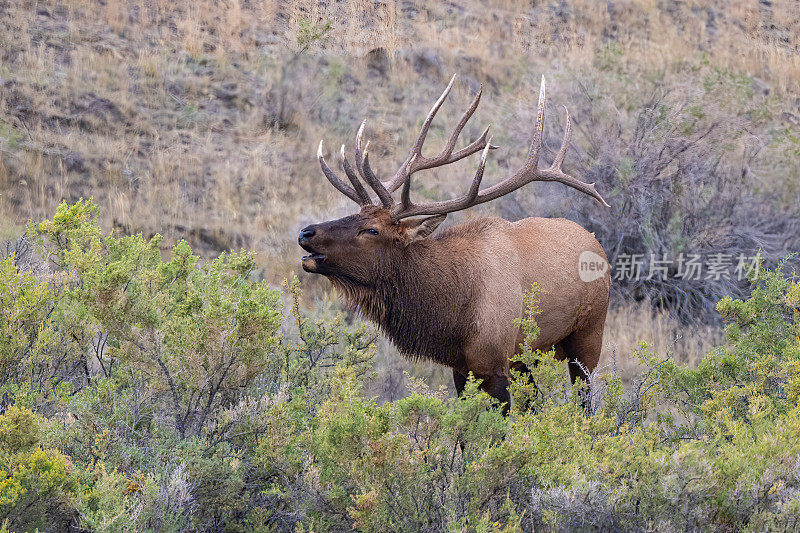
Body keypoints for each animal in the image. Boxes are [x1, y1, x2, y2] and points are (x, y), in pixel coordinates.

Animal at [296, 75, 608, 414]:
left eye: (372, 230)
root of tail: (596, 243)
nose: (306, 233)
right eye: (355, 214)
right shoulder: (463, 368)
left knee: (585, 400)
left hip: (589, 333)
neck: (452, 316)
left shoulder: (494, 363)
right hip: (530, 354)